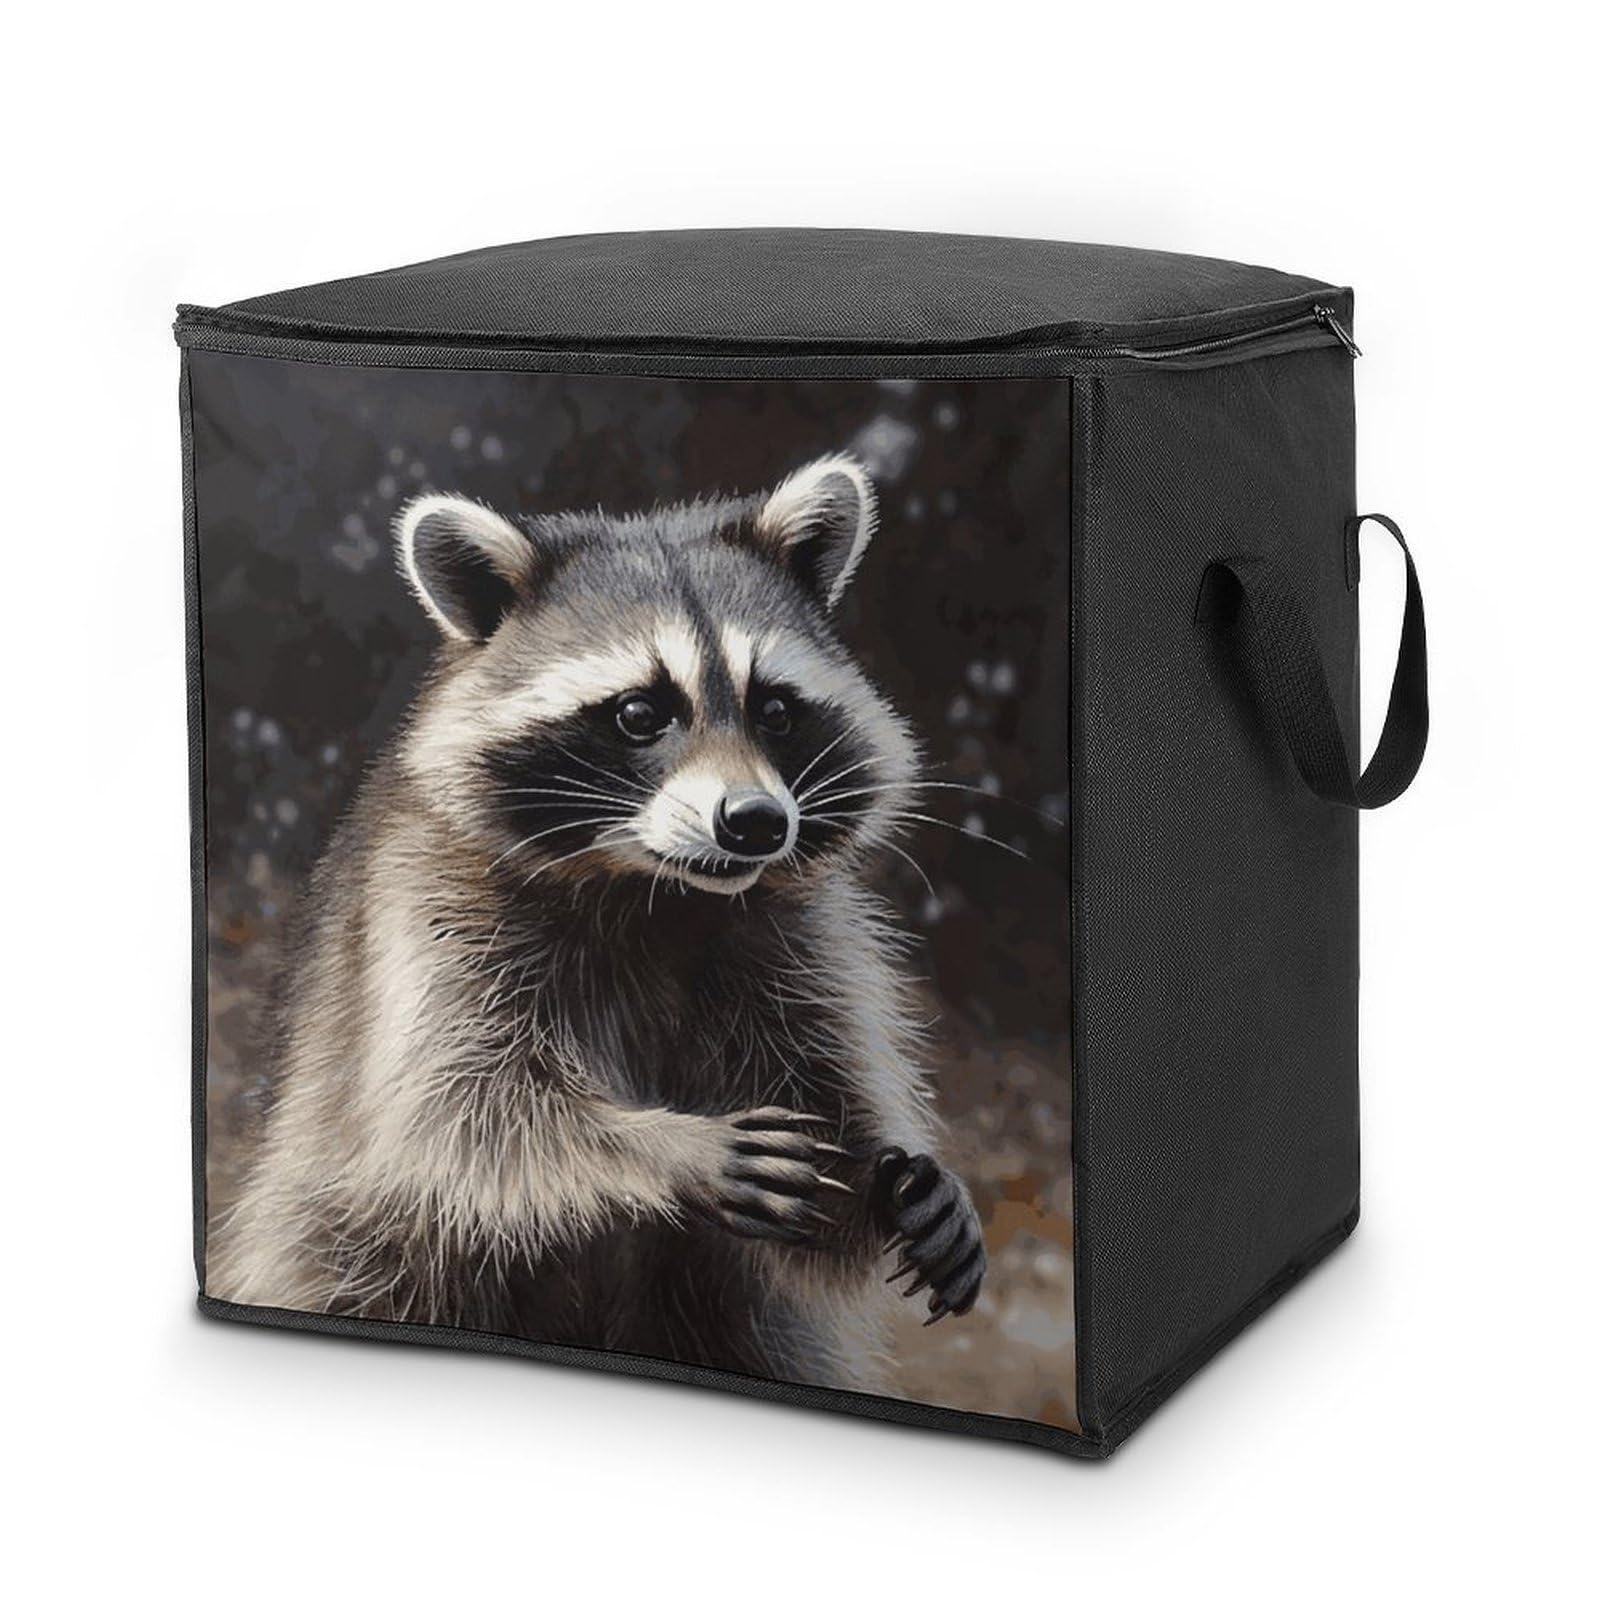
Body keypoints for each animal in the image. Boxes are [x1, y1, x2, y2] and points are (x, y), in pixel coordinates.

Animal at [209, 453, 986, 1390]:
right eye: (640, 713)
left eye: (774, 709)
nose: (757, 822)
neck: (654, 893)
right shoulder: (426, 911)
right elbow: (454, 1114)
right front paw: (666, 1147)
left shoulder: (795, 939)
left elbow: (825, 1160)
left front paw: (894, 1179)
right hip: (341, 1252)